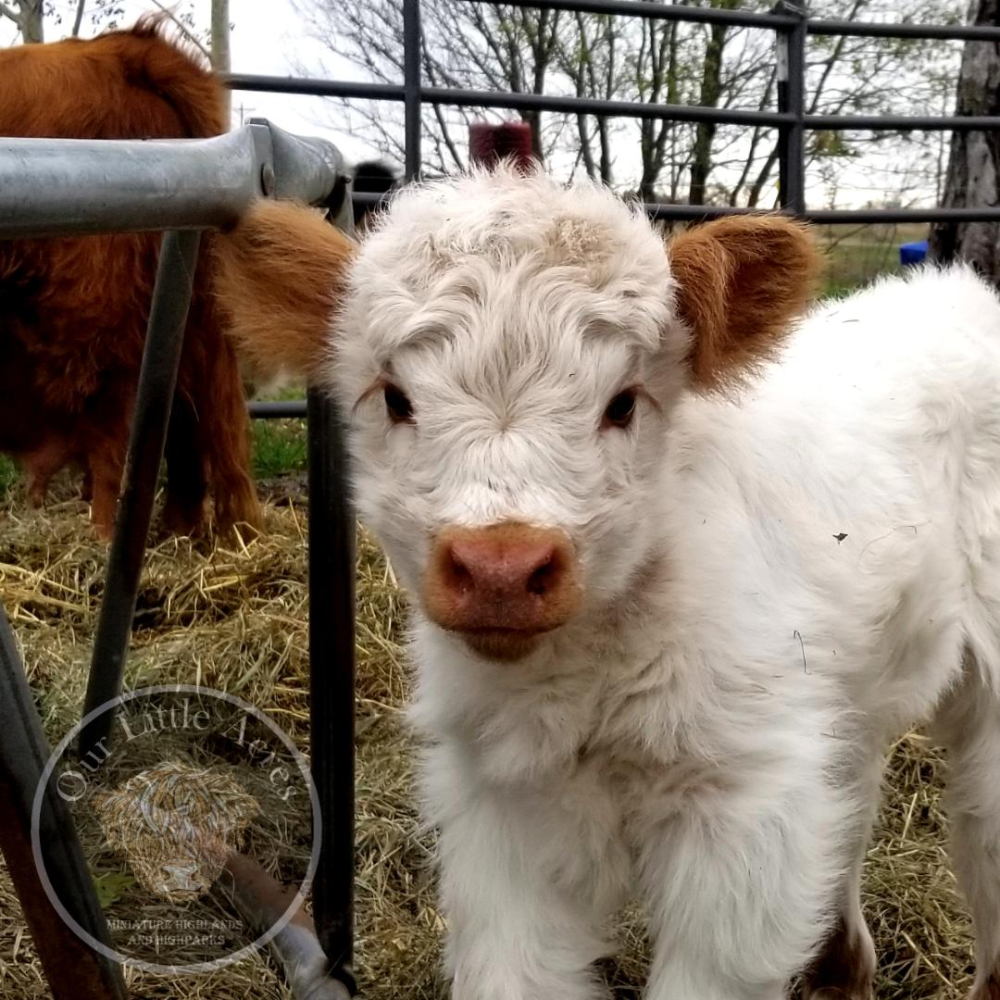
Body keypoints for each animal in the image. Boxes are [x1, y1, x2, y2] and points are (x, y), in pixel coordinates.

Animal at [0, 18, 261, 538]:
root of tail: (123, 51)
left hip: (93, 313)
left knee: (115, 435)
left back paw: (102, 535)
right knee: (182, 422)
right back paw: (181, 533)